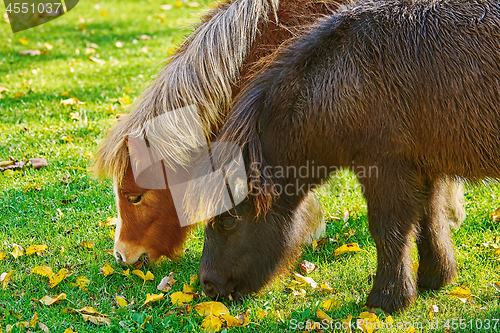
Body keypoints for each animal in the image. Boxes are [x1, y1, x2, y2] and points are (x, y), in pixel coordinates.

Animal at [189, 0, 498, 312]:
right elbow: (430, 221)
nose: (208, 286)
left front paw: (386, 299)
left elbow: (389, 231)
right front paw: (435, 278)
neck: (346, 76)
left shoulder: (385, 170)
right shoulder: (423, 167)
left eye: (228, 220)